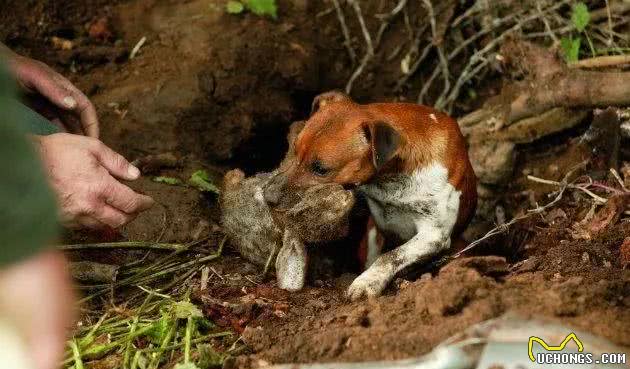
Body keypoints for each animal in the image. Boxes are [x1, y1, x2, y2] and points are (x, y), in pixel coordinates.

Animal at [264, 91, 476, 300]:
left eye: (321, 169)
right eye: (294, 151)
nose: (267, 196)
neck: (393, 179)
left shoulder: (434, 234)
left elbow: (391, 256)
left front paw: (368, 281)